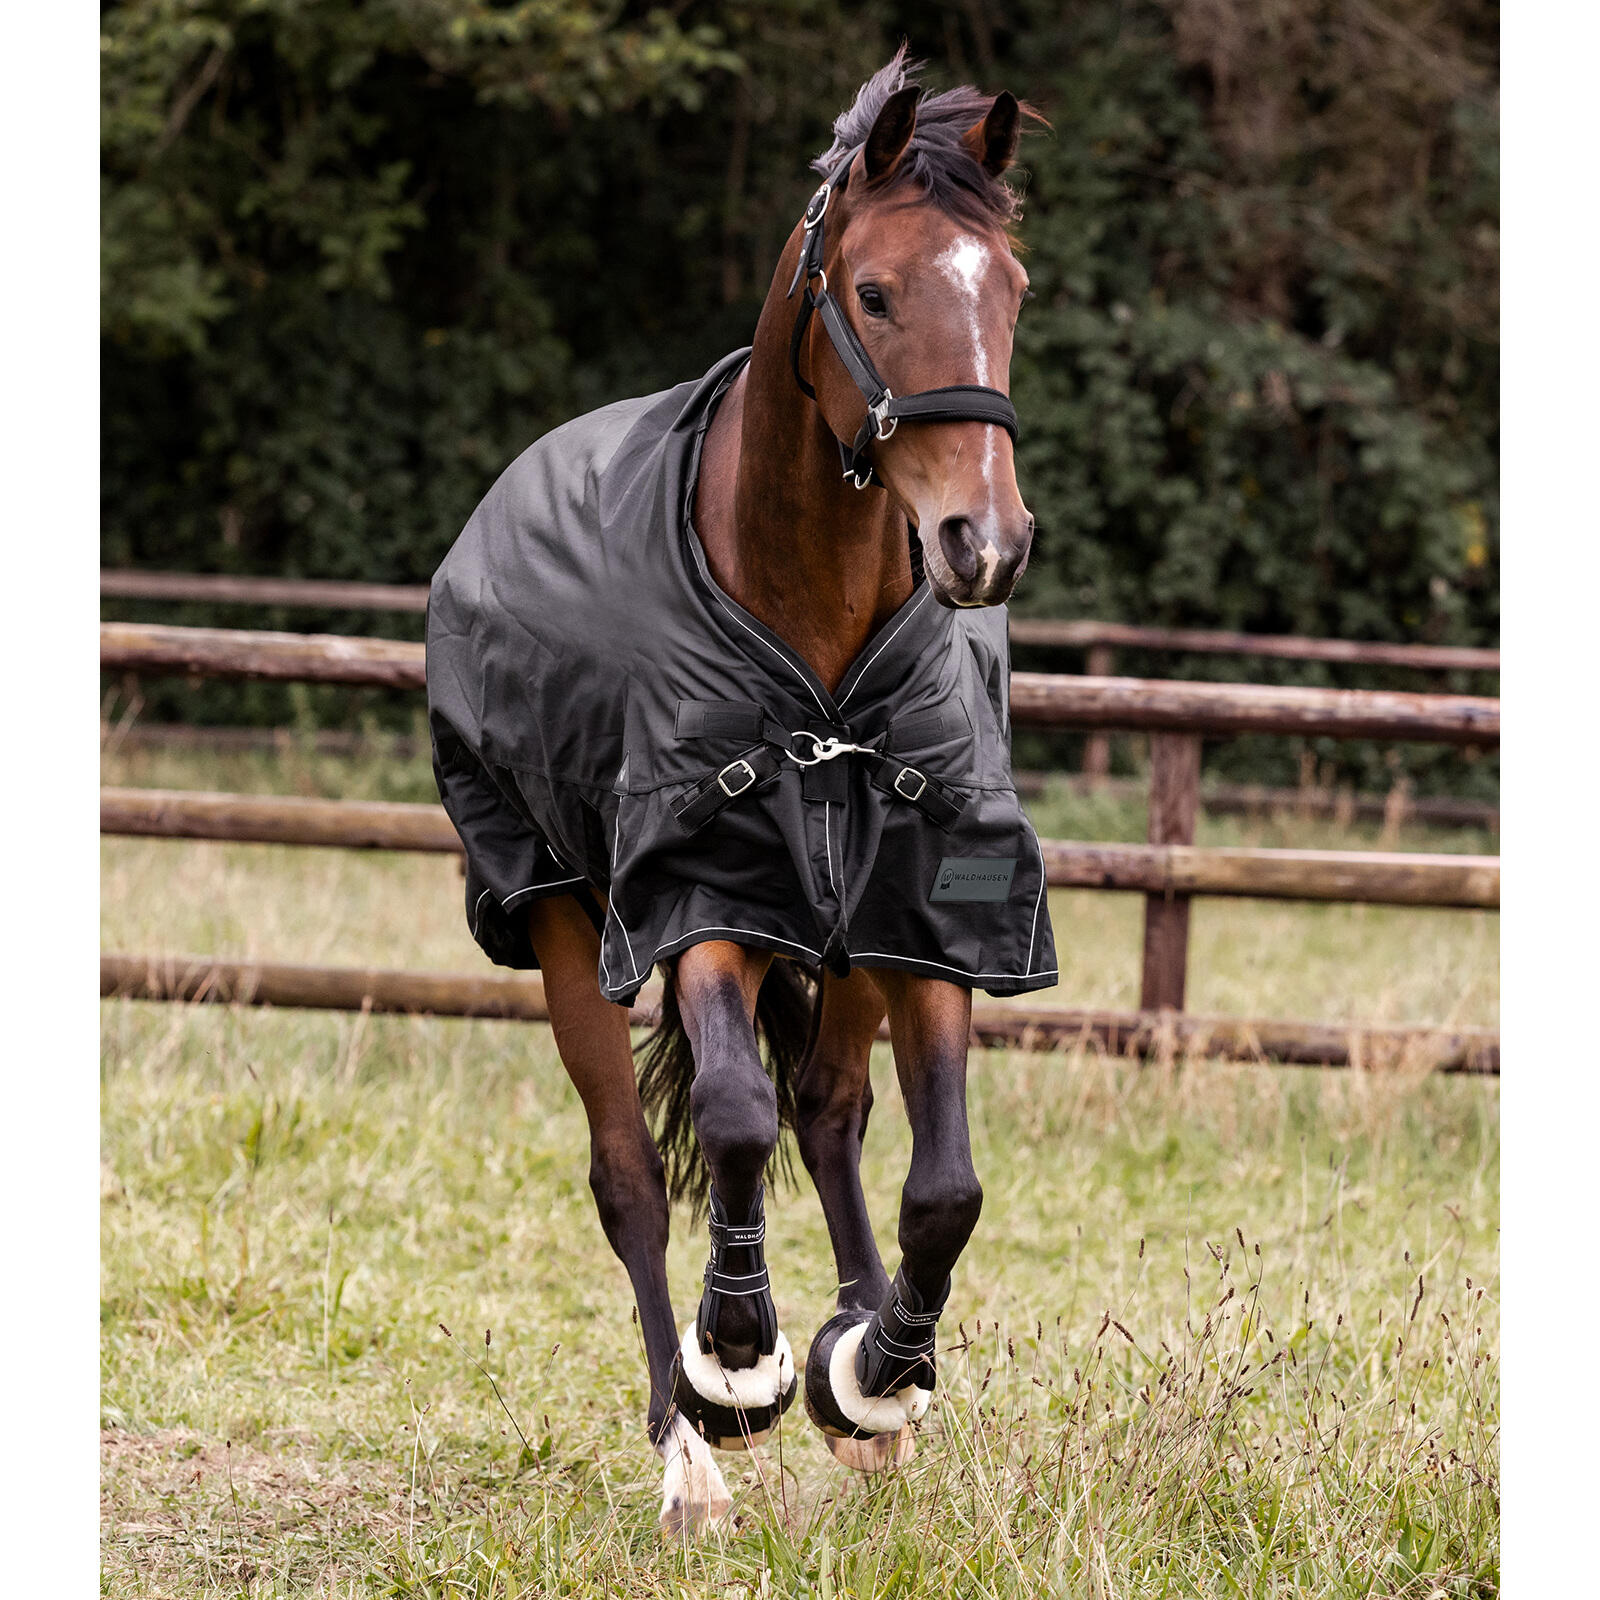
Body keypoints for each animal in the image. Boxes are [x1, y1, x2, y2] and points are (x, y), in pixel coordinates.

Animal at [425, 51, 1051, 1535]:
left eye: (1010, 290)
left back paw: (866, 1390)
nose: (983, 542)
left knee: (828, 1113)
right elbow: (726, 1121)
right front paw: (738, 1360)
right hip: (559, 910)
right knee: (633, 1173)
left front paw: (874, 1371)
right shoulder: (696, 897)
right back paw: (686, 1445)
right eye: (873, 291)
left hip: (842, 931)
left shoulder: (922, 908)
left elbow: (944, 1184)